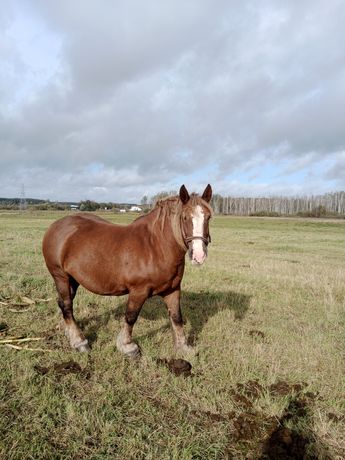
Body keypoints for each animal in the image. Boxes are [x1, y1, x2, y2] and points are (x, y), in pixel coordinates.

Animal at [41, 183, 211, 356]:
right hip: (60, 276)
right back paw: (79, 341)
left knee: (63, 303)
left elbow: (176, 317)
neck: (156, 246)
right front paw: (127, 346)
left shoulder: (172, 289)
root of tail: (56, 226)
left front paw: (183, 347)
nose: (199, 255)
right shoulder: (138, 291)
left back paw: (68, 331)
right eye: (185, 218)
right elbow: (131, 317)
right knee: (67, 305)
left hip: (73, 279)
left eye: (208, 217)